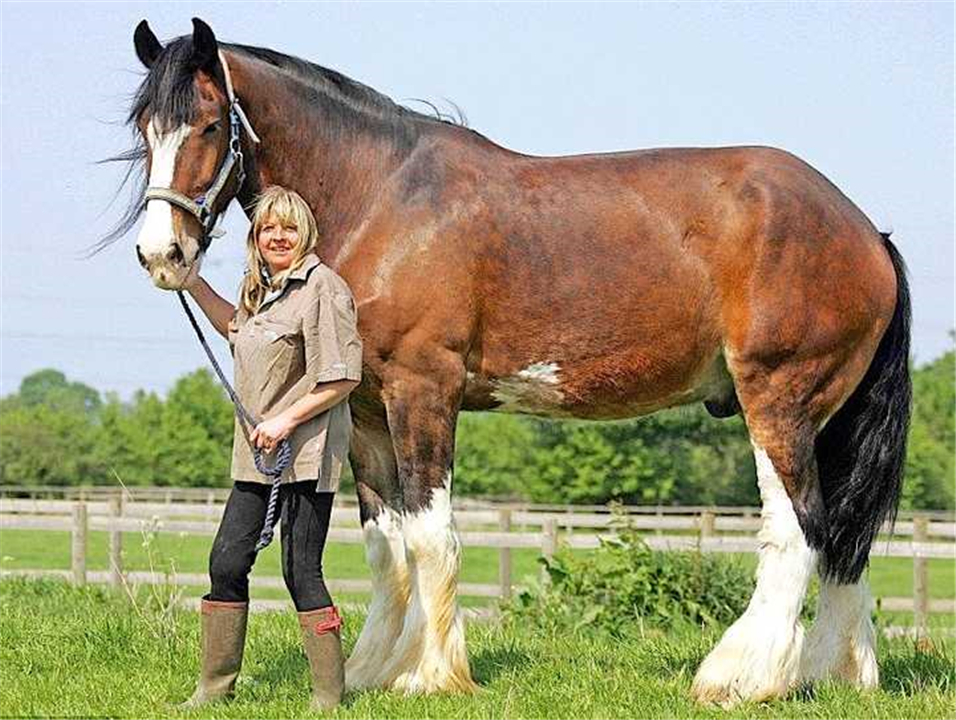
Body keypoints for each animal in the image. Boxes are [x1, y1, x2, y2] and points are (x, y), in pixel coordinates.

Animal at [121, 18, 911, 705]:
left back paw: (740, 677)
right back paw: (836, 674)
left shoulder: (423, 391)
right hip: (825, 418)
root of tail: (864, 230)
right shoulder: (367, 407)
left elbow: (431, 534)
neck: (382, 197)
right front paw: (373, 669)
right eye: (143, 128)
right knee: (842, 538)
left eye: (209, 124)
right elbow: (385, 543)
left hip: (777, 400)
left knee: (797, 529)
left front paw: (433, 676)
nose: (163, 255)